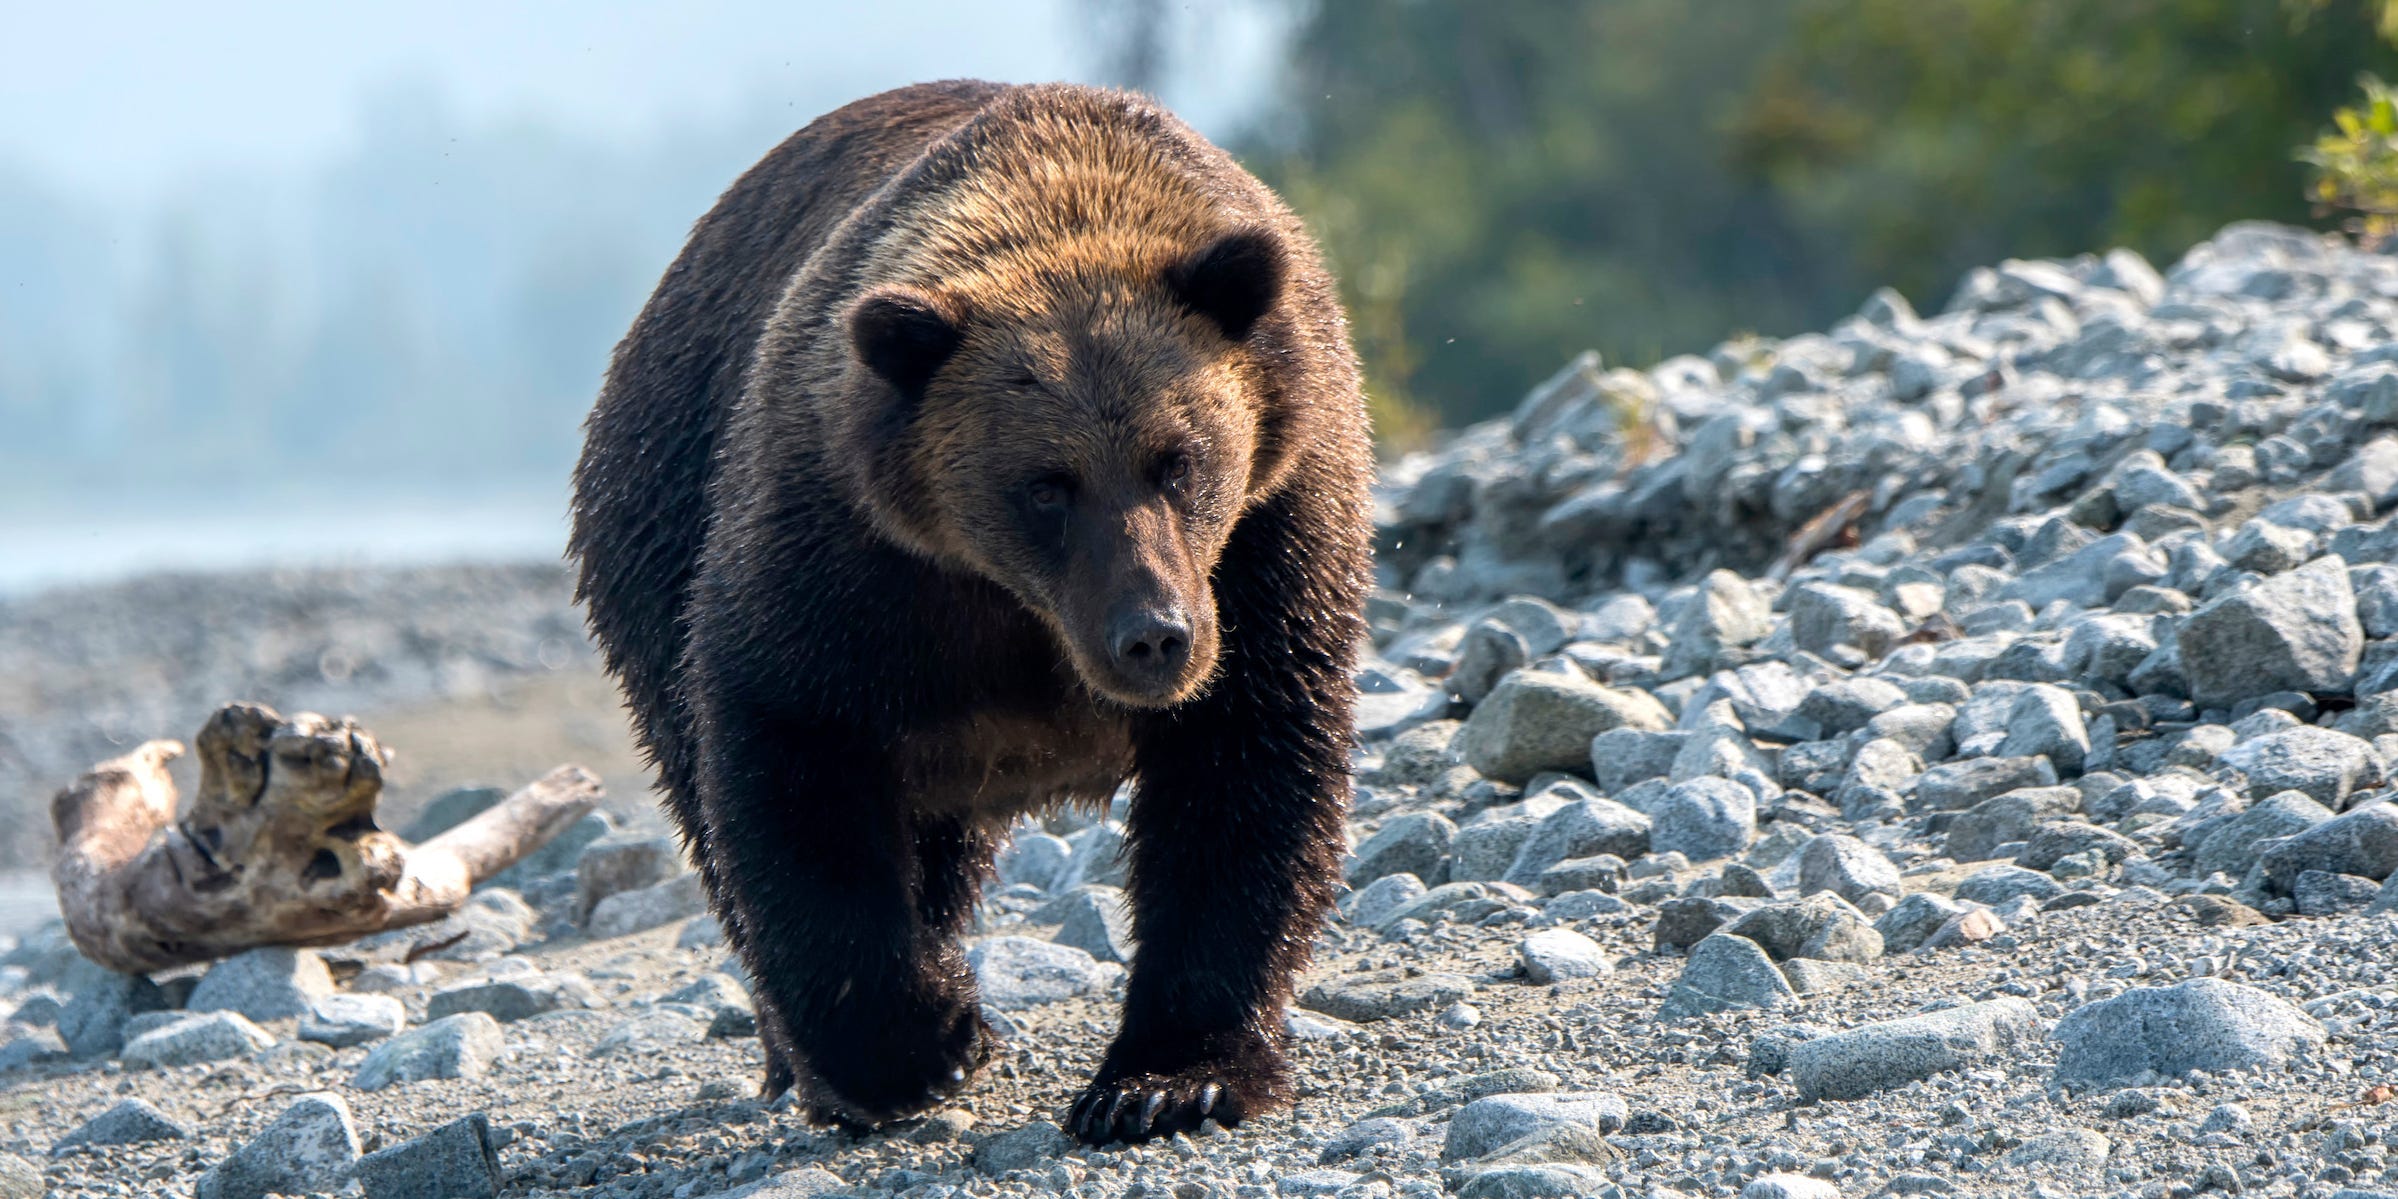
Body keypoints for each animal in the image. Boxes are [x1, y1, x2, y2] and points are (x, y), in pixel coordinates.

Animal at [563, 79, 1381, 1146]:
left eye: (1180, 458)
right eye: (1046, 485)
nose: (1153, 636)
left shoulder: (1268, 529)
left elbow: (1247, 764)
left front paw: (1168, 1079)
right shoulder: (848, 551)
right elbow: (792, 754)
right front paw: (920, 1039)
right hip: (657, 511)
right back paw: (806, 1056)